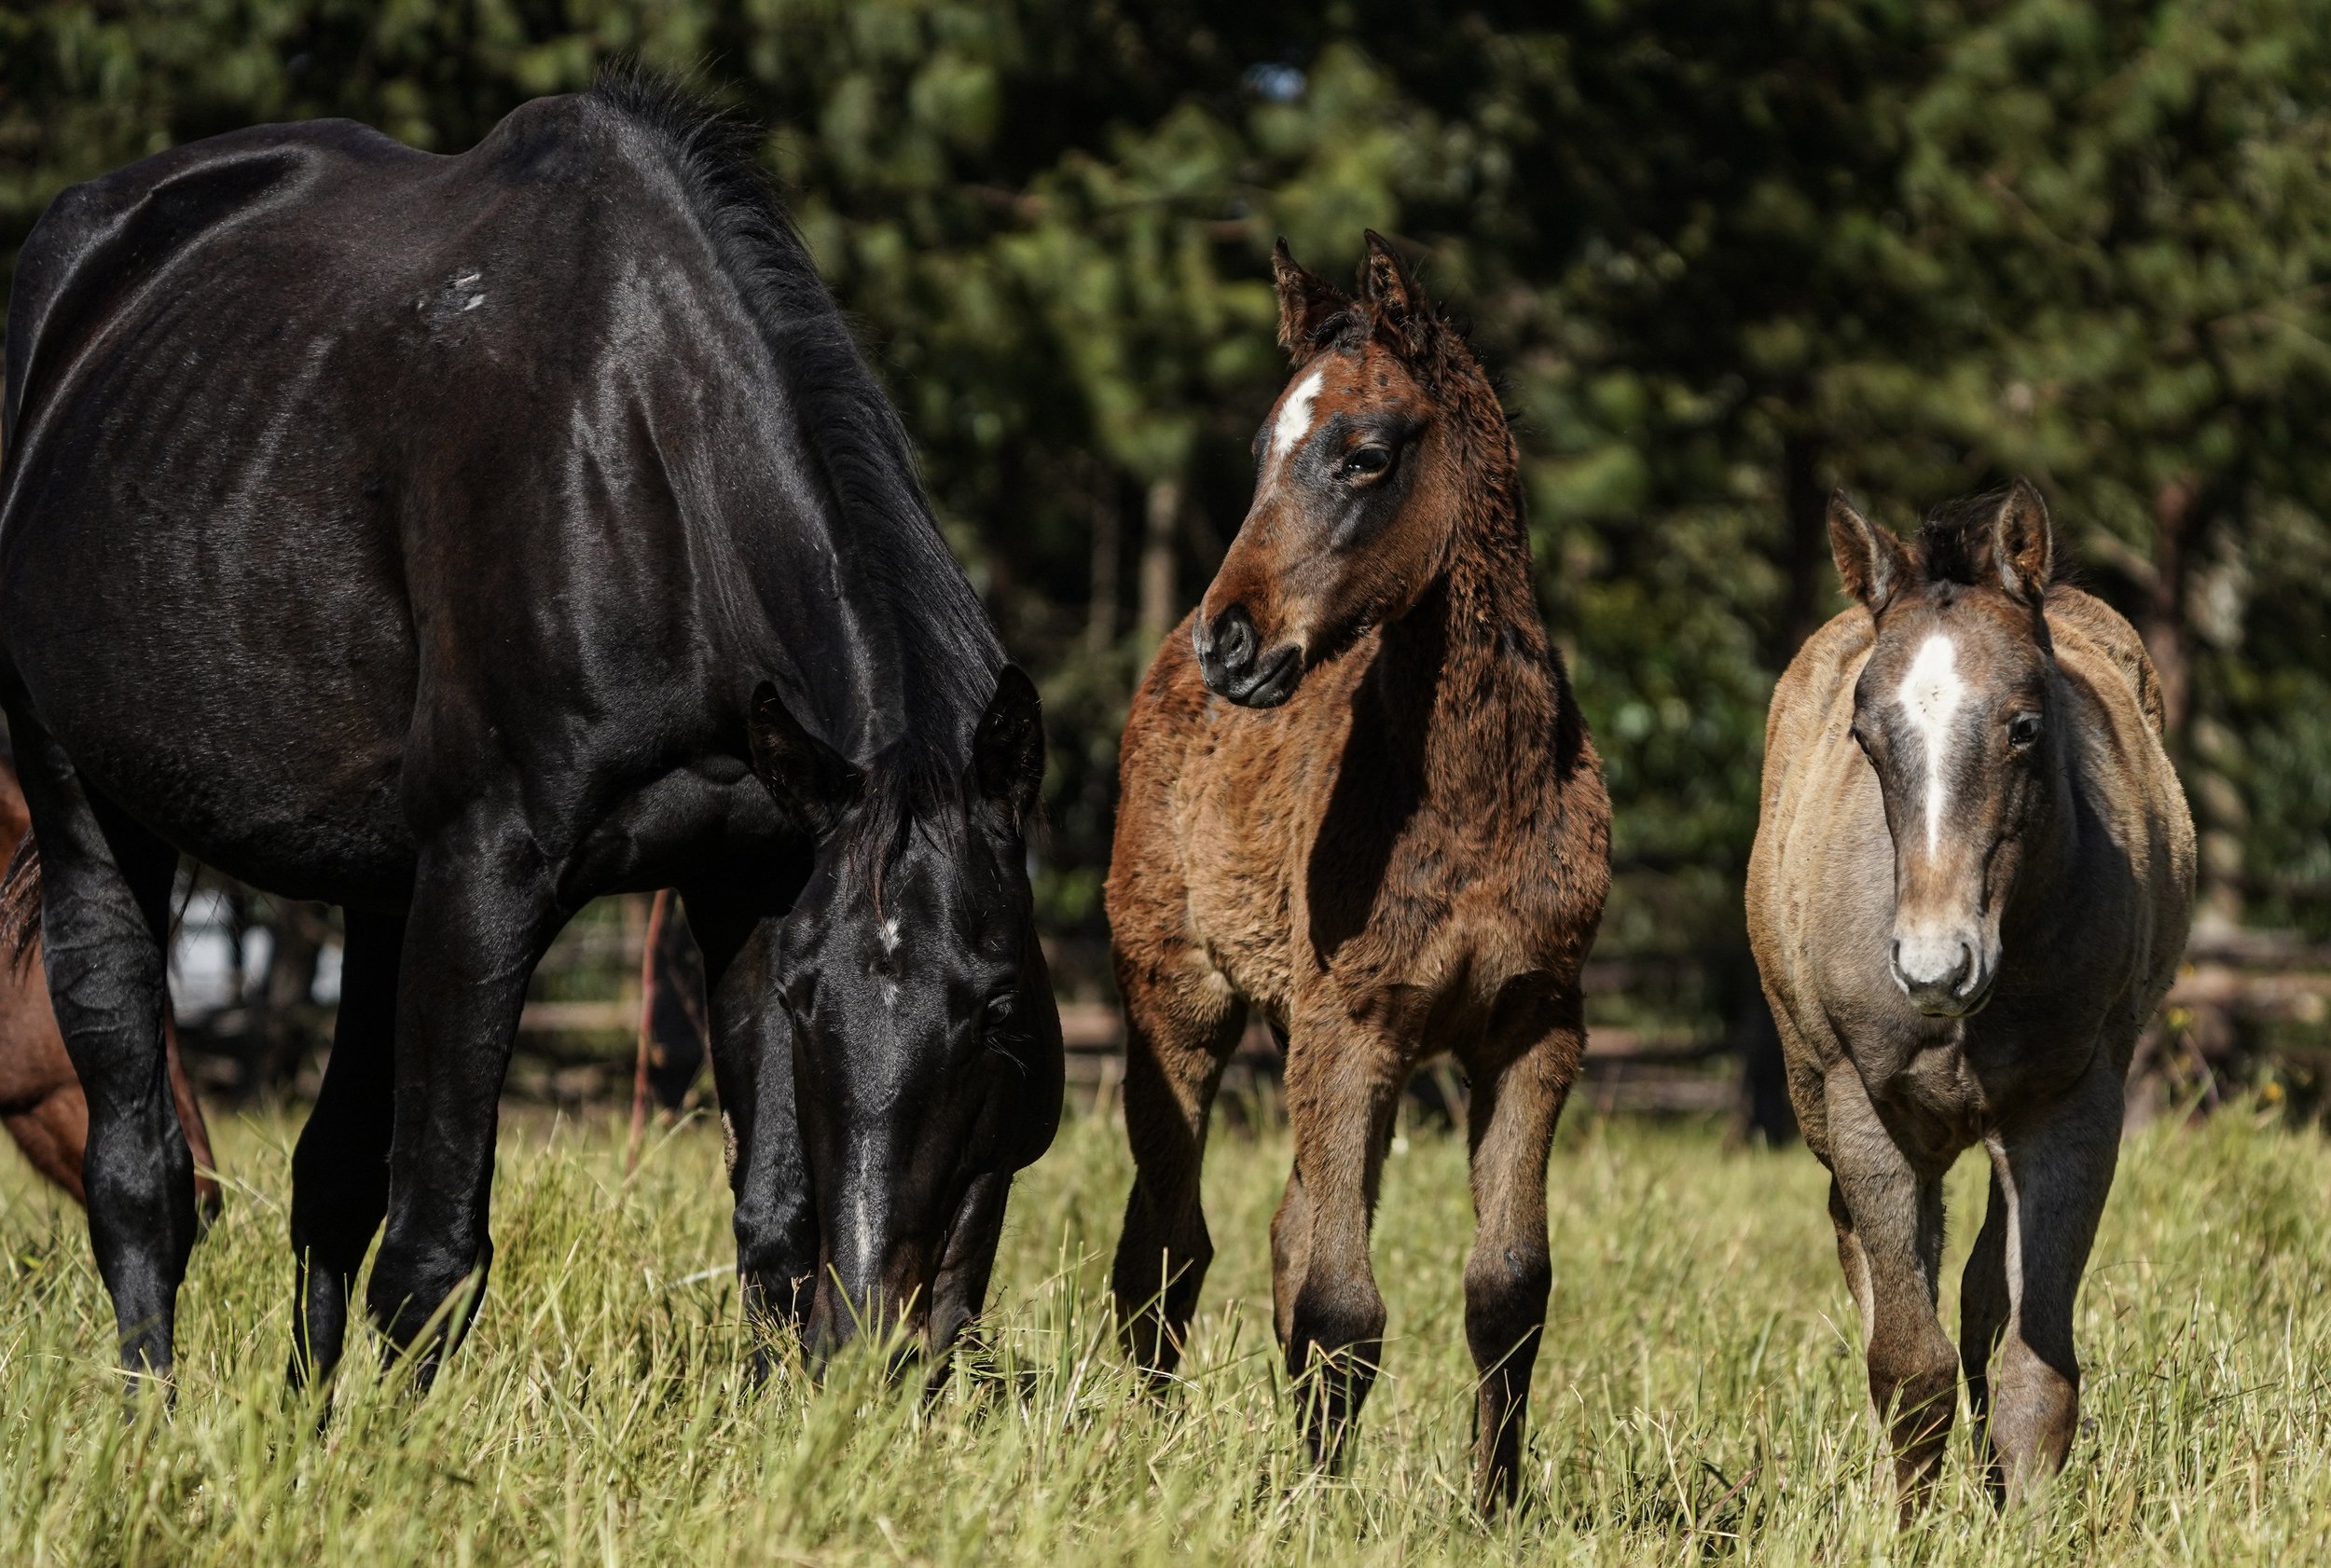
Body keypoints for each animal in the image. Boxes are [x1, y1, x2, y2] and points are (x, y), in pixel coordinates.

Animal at [1106, 234, 1611, 1509]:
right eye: (1256, 453)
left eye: (1365, 456)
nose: (1229, 641)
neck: (1475, 800)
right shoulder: (1353, 1022)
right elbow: (1340, 1302)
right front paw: (1322, 1509)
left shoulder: (1533, 1026)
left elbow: (1508, 1288)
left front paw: (1492, 1508)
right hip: (1179, 998)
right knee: (1166, 1245)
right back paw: (1141, 1450)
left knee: (1279, 1233)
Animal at [1746, 481, 2193, 1512]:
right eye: (1865, 736)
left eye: (2025, 726)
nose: (1932, 970)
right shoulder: (1864, 1106)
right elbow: (1906, 1360)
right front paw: (1903, 1524)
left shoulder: (2070, 1108)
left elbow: (2031, 1362)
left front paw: (2020, 1518)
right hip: (1818, 1097)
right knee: (1869, 1259)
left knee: (1988, 1292)